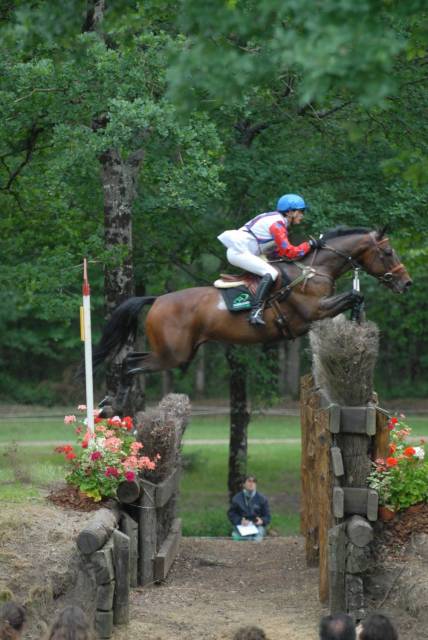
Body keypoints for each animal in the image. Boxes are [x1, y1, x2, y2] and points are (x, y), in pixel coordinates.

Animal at [93, 229, 412, 410]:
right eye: (387, 252)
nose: (406, 283)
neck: (314, 270)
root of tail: (158, 300)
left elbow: (355, 299)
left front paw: (359, 322)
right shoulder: (315, 311)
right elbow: (354, 296)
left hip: (177, 352)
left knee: (130, 359)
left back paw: (114, 402)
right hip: (173, 354)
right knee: (130, 364)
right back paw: (114, 404)